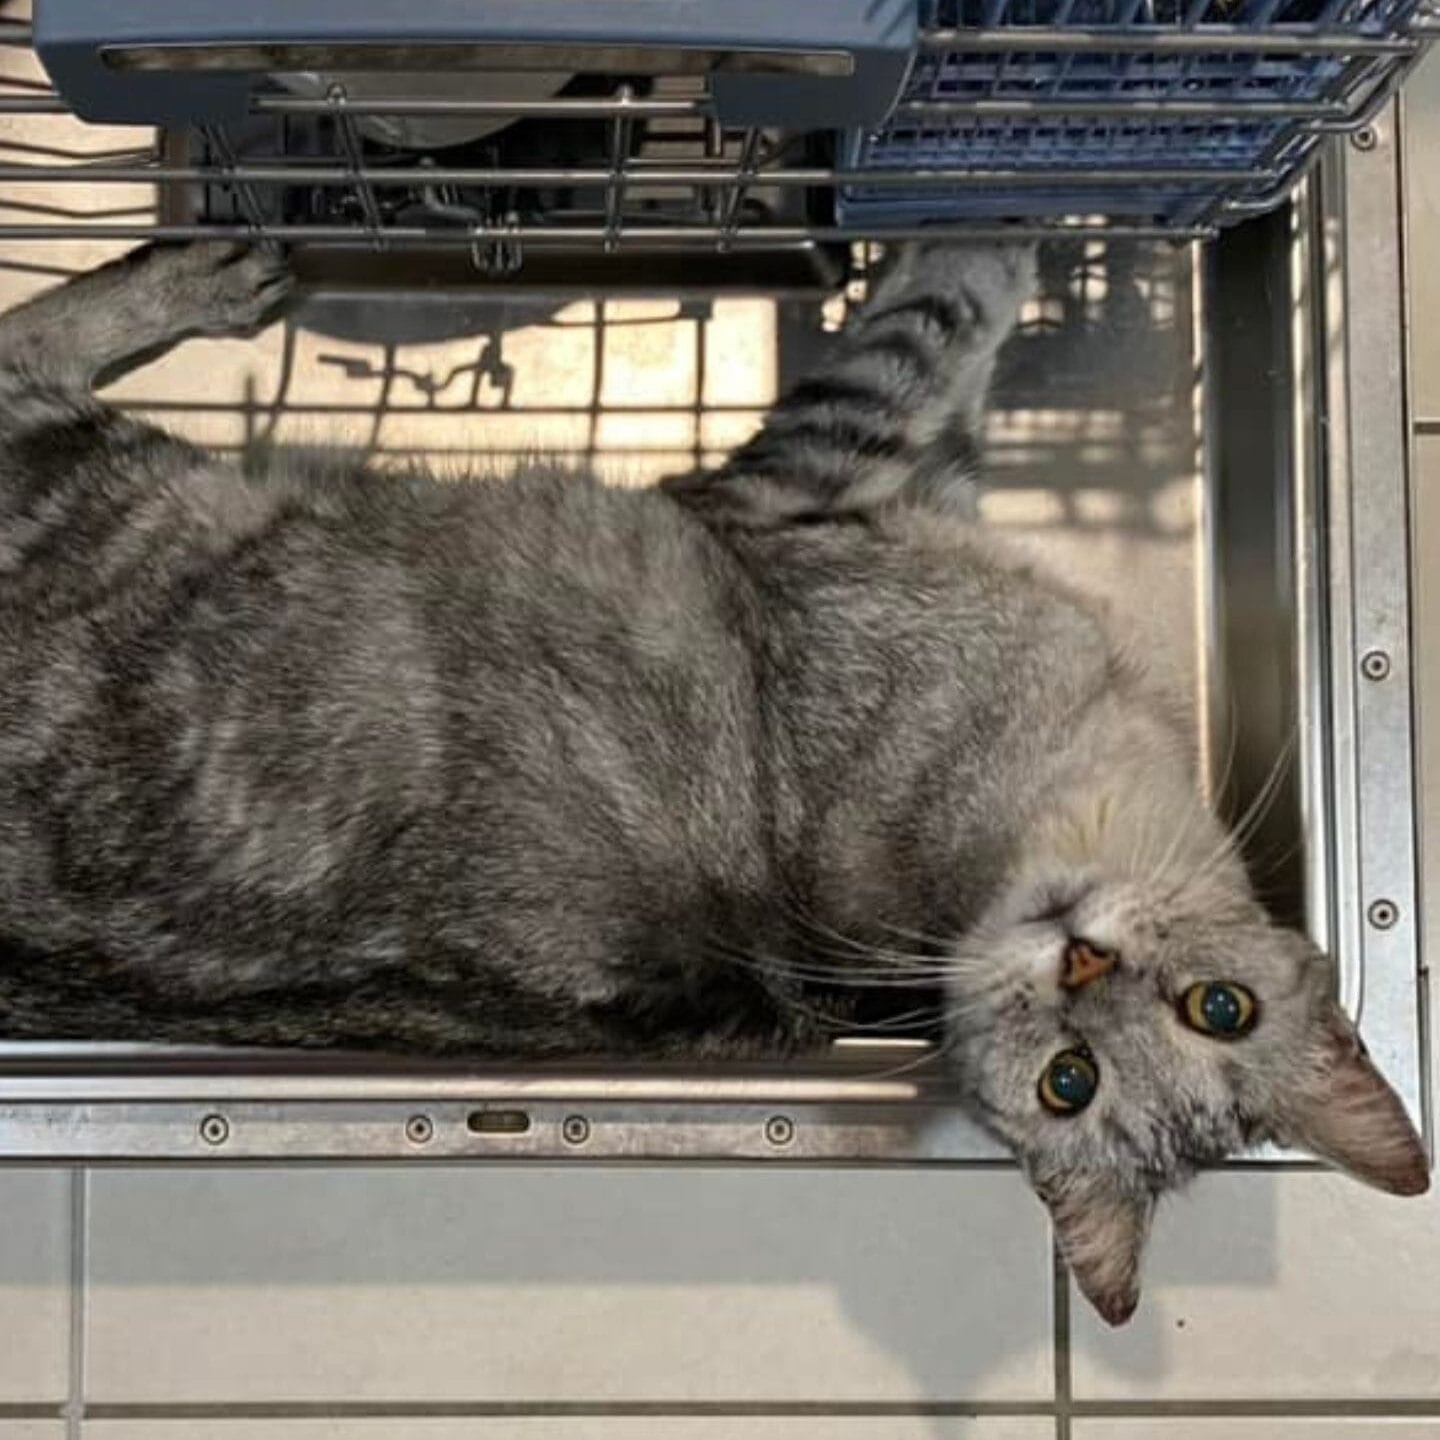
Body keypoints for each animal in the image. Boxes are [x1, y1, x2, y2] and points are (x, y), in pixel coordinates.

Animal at [0, 239, 1426, 1325]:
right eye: (1220, 1008)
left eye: (1067, 1084)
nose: (1080, 962)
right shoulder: (859, 476)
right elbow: (947, 334)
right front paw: (1010, 221)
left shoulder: (818, 480)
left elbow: (926, 325)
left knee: (24, 340)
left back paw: (195, 274)